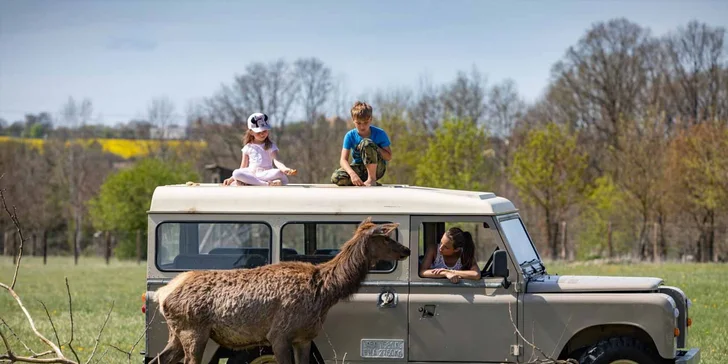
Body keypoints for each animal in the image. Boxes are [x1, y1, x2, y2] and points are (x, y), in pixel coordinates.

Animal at [149, 218, 410, 364]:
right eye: (386, 238)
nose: (406, 250)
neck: (324, 293)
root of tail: (162, 294)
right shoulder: (279, 334)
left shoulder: (304, 337)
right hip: (193, 331)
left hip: (177, 334)